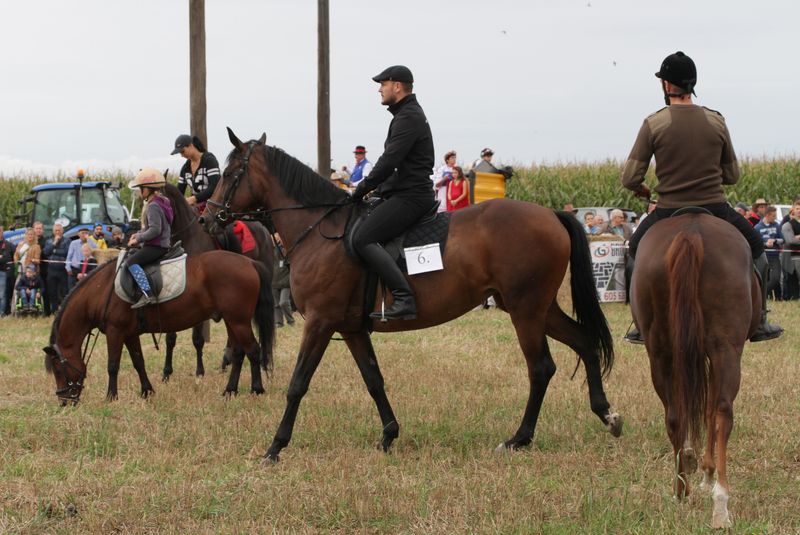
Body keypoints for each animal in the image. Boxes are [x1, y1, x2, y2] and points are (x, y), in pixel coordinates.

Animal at [43, 251, 276, 406]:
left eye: (57, 369)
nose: (64, 400)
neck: (100, 290)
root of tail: (249, 262)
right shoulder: (129, 334)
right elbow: (138, 362)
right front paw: (147, 391)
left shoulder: (115, 331)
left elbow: (113, 365)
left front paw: (111, 396)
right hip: (232, 321)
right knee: (238, 353)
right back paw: (230, 390)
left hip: (238, 321)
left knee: (253, 350)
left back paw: (256, 389)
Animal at [203, 127, 620, 462]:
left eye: (230, 173)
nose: (208, 218)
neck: (320, 230)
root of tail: (550, 214)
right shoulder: (351, 328)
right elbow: (373, 379)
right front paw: (389, 435)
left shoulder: (320, 323)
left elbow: (297, 384)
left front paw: (275, 447)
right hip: (537, 307)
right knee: (584, 341)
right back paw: (607, 414)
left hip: (526, 310)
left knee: (541, 368)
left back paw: (519, 438)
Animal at [632, 213, 756, 528]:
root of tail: (691, 232)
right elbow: (709, 410)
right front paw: (706, 472)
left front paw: (690, 459)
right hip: (726, 349)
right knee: (721, 411)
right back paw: (720, 502)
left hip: (660, 352)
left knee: (675, 415)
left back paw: (681, 492)